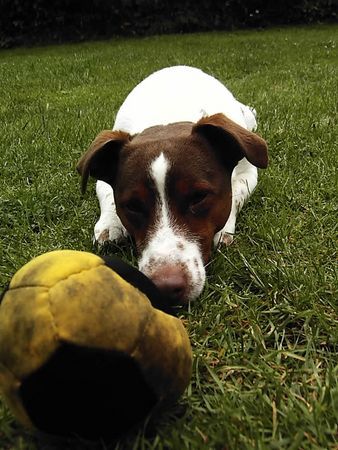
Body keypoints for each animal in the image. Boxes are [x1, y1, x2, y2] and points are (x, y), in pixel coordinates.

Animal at [76, 65, 266, 304]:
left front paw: (224, 230)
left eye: (199, 197)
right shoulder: (102, 181)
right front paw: (110, 226)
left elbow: (235, 198)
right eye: (132, 205)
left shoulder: (248, 173)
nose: (164, 288)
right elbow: (108, 197)